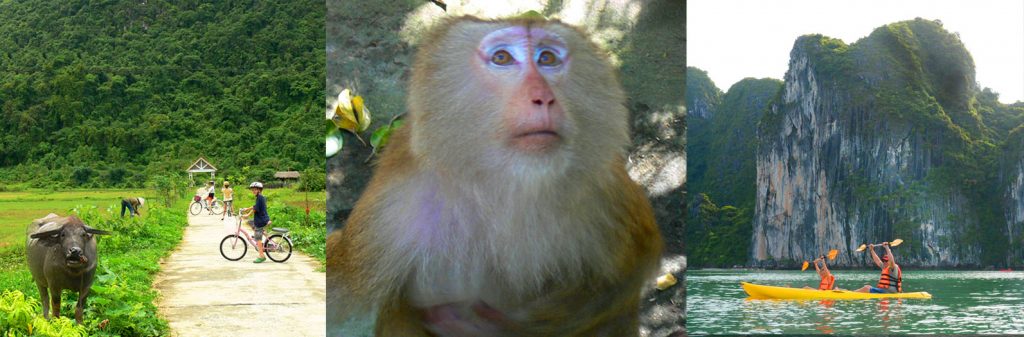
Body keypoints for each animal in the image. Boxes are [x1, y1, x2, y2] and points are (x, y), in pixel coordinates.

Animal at [327, 15, 663, 335]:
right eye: (502, 58)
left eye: (547, 58)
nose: (543, 98)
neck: (509, 186)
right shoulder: (391, 212)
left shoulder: (605, 189)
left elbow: (628, 271)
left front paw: (518, 324)